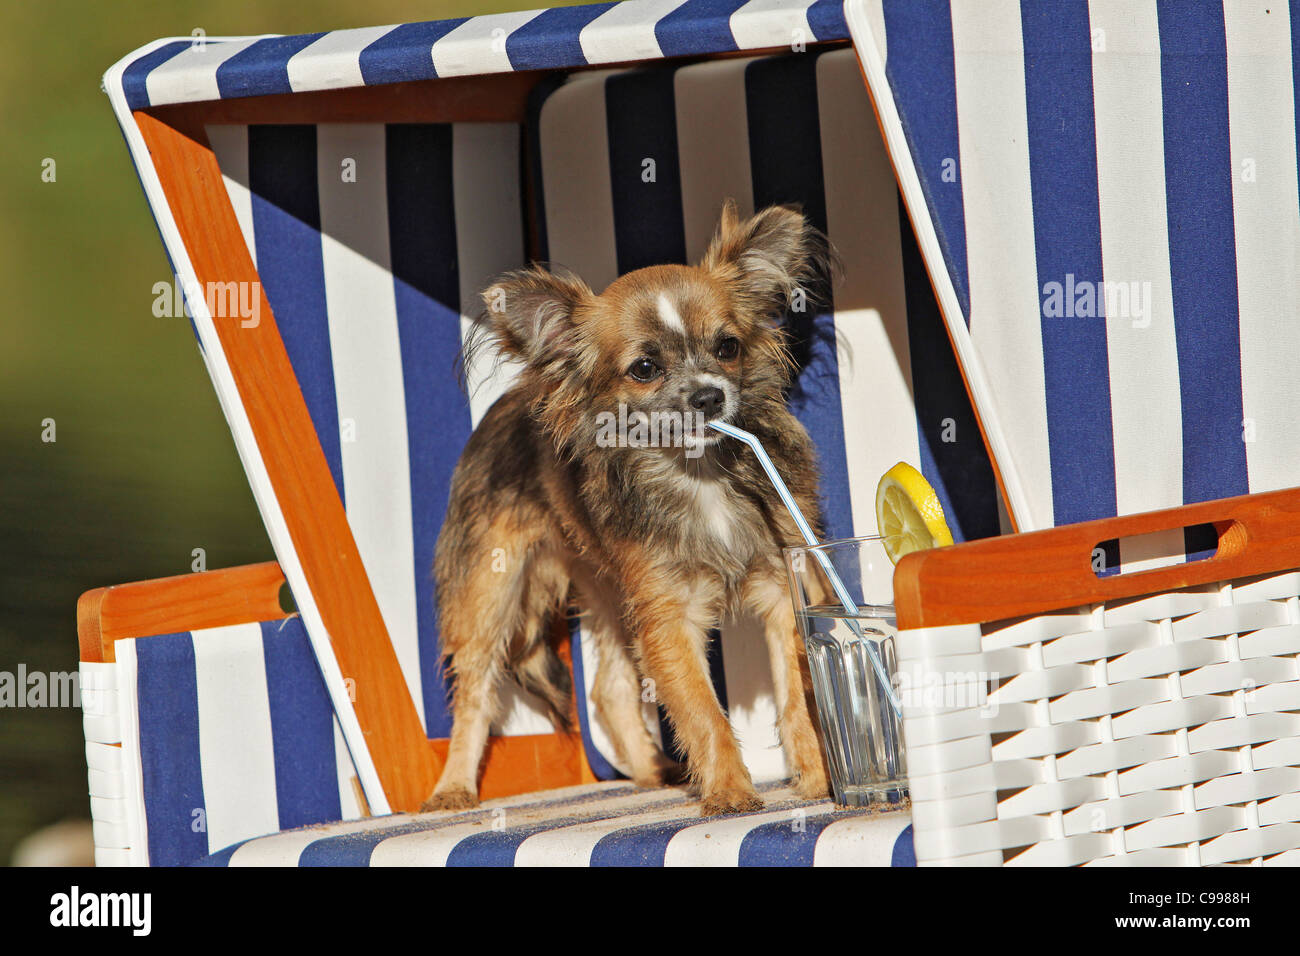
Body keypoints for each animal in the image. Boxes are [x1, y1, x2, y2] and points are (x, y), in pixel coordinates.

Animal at [426, 201, 832, 816]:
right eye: (644, 368)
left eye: (728, 347)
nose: (710, 395)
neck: (698, 474)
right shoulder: (668, 615)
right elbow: (704, 712)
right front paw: (730, 793)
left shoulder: (783, 587)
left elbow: (797, 693)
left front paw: (819, 780)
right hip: (490, 589)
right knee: (475, 693)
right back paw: (453, 787)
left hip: (612, 591)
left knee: (609, 691)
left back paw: (649, 771)